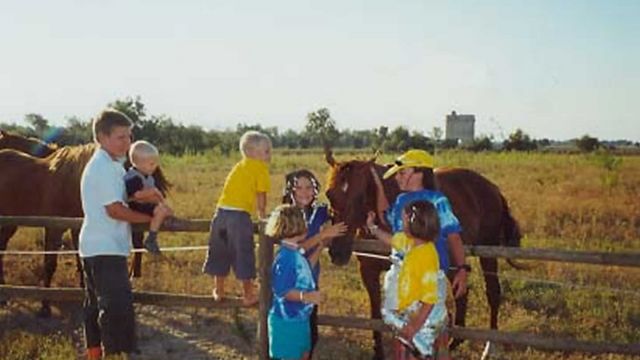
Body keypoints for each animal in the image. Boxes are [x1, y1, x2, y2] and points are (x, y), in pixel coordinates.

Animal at [0, 131, 170, 316]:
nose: (156, 196)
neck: (70, 182)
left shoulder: (75, 226)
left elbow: (79, 257)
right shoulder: (54, 227)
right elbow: (51, 264)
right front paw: (45, 306)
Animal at [322, 148, 524, 358]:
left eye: (361, 197)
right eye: (329, 194)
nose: (338, 252)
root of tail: (492, 188)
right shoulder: (368, 271)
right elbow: (375, 315)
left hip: (488, 252)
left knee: (492, 293)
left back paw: (488, 347)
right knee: (462, 293)